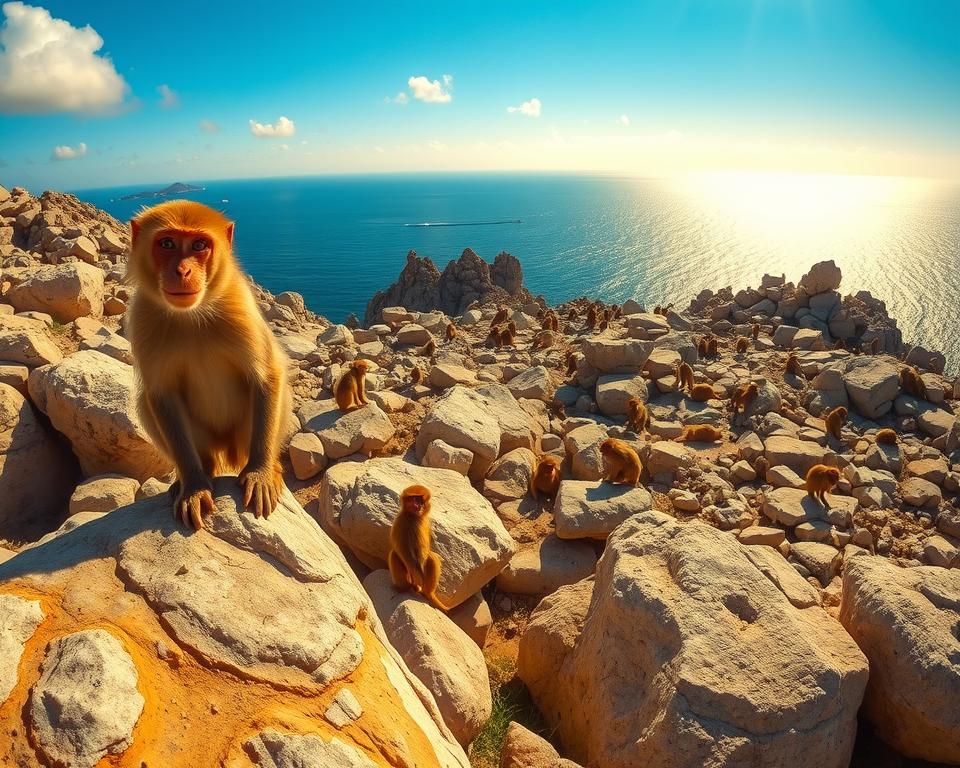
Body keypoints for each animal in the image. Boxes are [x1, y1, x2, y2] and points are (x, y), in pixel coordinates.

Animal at [126, 200, 289, 529]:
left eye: (199, 245)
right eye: (167, 243)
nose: (183, 270)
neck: (191, 316)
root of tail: (226, 449)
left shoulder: (240, 308)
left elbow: (266, 377)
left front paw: (261, 473)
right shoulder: (142, 319)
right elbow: (161, 395)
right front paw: (193, 486)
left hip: (242, 438)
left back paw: (271, 467)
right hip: (207, 443)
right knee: (144, 403)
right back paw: (199, 473)